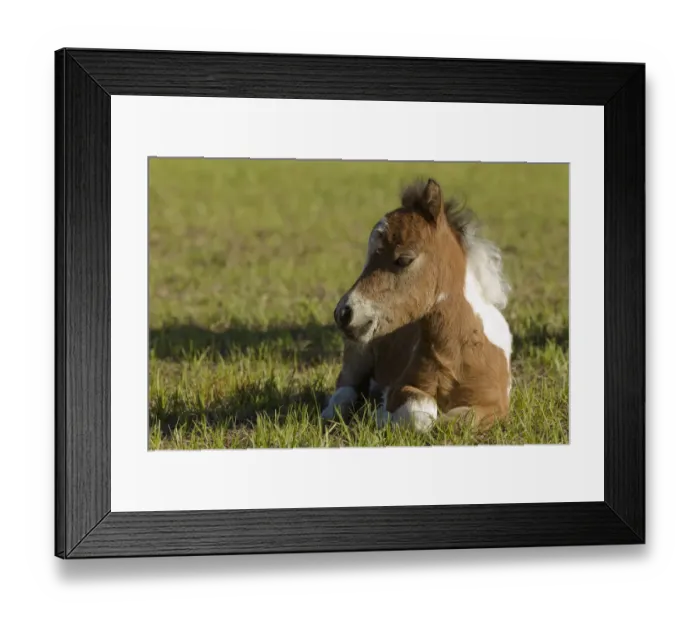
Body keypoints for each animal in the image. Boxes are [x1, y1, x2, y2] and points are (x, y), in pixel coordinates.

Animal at [321, 178, 513, 432]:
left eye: (404, 259)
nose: (344, 313)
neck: (459, 352)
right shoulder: (405, 385)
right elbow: (422, 413)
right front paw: (381, 414)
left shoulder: (496, 404)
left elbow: (462, 419)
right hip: (357, 355)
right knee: (345, 389)